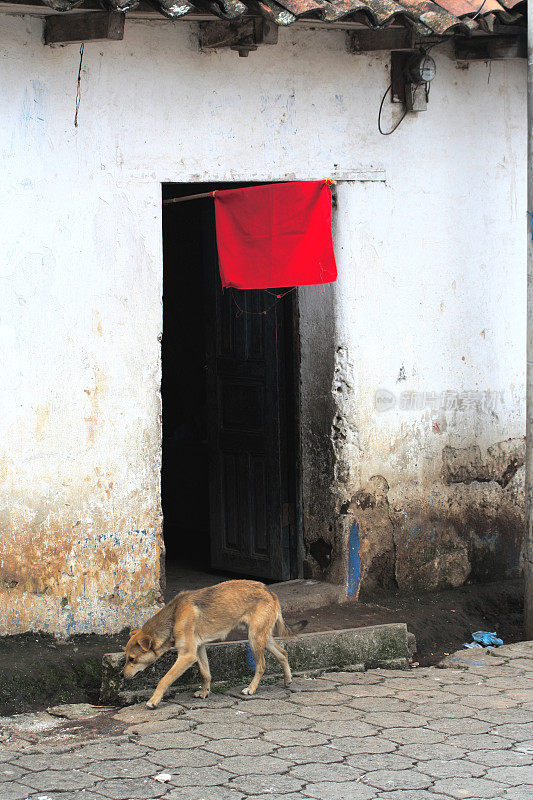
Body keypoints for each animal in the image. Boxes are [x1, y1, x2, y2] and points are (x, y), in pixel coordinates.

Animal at [125, 580, 296, 708]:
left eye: (132, 659)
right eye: (126, 658)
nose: (121, 675)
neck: (174, 616)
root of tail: (269, 592)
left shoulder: (187, 656)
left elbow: (164, 680)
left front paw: (154, 700)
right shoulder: (199, 649)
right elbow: (205, 673)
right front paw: (204, 692)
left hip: (254, 639)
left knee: (261, 666)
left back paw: (251, 689)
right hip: (262, 638)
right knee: (283, 653)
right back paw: (287, 679)